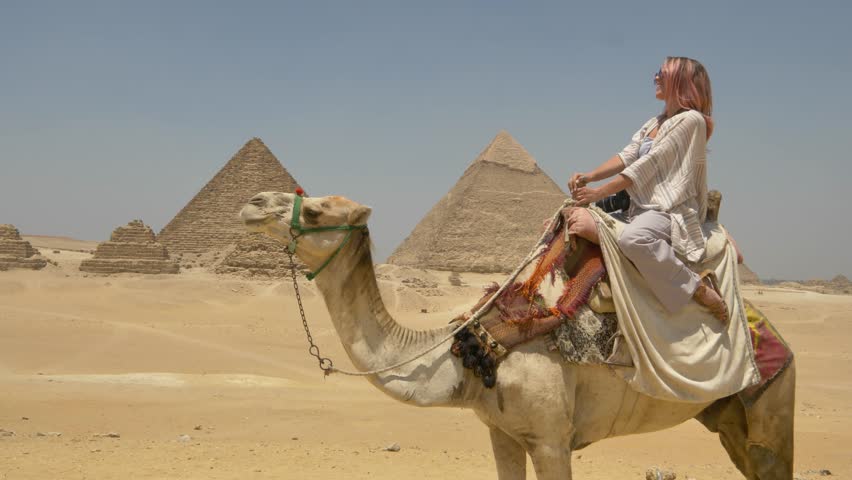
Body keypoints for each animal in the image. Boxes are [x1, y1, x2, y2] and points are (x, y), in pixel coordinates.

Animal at [240, 191, 795, 480]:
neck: (470, 351)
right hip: (727, 418)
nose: (253, 203)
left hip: (771, 407)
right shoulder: (502, 434)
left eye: (314, 209)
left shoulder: (551, 438)